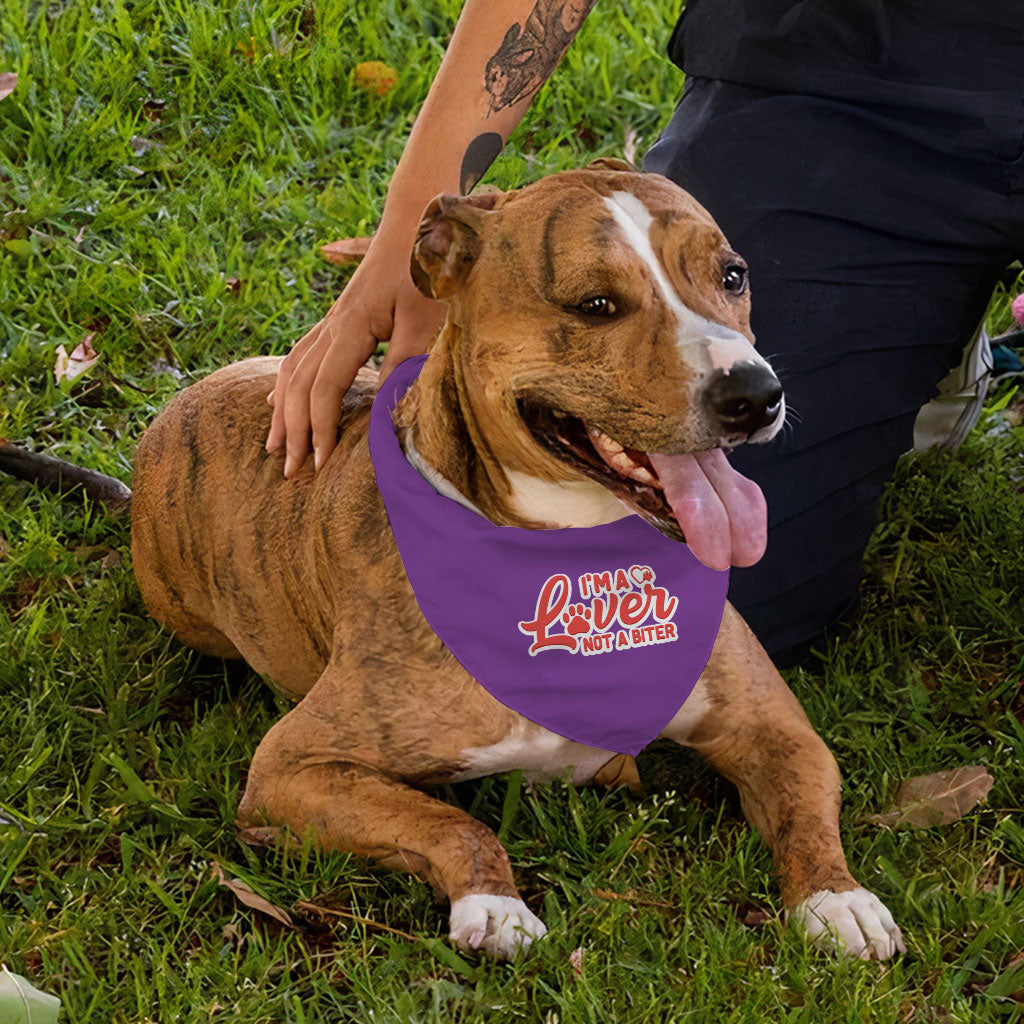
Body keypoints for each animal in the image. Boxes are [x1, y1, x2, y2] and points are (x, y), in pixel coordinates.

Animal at [119, 159, 901, 958]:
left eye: (733, 276)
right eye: (596, 305)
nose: (755, 394)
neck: (576, 562)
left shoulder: (774, 728)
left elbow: (806, 808)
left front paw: (838, 898)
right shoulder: (292, 766)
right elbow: (449, 820)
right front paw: (493, 902)